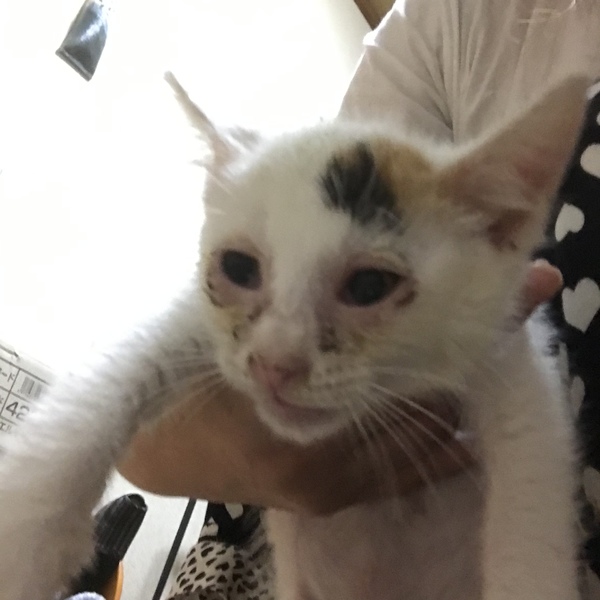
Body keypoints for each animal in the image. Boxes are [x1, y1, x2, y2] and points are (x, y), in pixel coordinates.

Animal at [0, 72, 588, 600]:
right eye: (238, 267)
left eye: (370, 286)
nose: (274, 363)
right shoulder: (197, 322)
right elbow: (124, 366)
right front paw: (27, 537)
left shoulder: (515, 363)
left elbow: (530, 517)